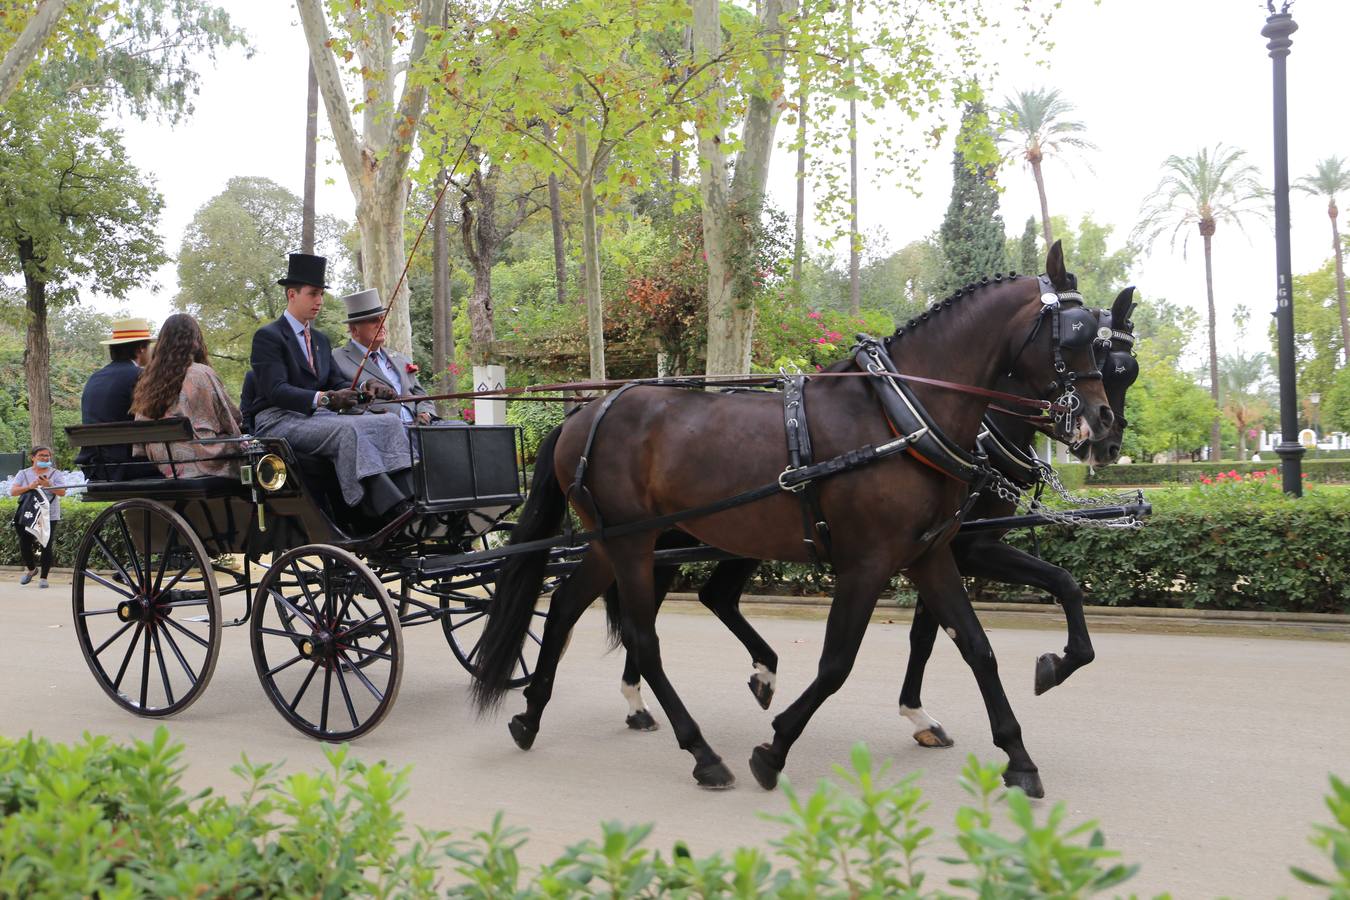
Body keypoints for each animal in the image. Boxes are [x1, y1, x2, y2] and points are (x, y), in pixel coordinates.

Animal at [475, 246, 1117, 793]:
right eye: (1077, 335)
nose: (1103, 424)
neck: (901, 418)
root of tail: (584, 413)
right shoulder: (868, 563)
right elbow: (836, 663)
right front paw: (775, 748)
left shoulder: (930, 555)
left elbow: (977, 647)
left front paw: (1019, 757)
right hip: (633, 544)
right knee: (643, 636)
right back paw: (701, 752)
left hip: (614, 541)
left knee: (564, 608)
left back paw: (531, 716)